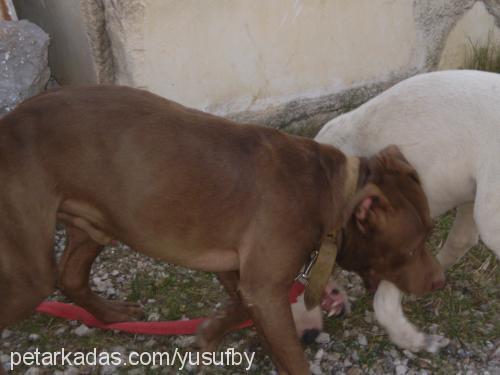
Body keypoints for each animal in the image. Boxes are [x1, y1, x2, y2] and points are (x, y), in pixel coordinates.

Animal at [0, 86, 446, 374]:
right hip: (29, 274)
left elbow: (236, 310)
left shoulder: (241, 273)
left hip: (92, 227)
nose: (441, 281)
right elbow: (292, 358)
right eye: (414, 246)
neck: (327, 192)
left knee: (71, 276)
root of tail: (9, 121)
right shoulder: (264, 286)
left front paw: (209, 334)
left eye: (430, 230)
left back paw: (112, 314)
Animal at [316, 70, 500, 352]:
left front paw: (409, 337)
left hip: (490, 216)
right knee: (462, 239)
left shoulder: (402, 246)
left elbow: (385, 303)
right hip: (476, 199)